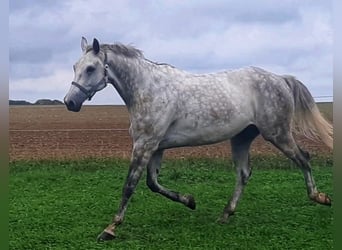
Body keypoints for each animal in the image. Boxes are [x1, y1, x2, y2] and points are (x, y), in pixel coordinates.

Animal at [62, 37, 332, 242]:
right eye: (75, 66)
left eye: (90, 68)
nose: (70, 102)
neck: (148, 89)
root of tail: (281, 79)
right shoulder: (155, 147)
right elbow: (153, 184)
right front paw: (190, 201)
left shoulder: (144, 145)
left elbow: (130, 185)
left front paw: (110, 228)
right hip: (242, 138)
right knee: (244, 174)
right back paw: (225, 214)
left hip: (277, 133)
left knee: (304, 158)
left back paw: (320, 197)